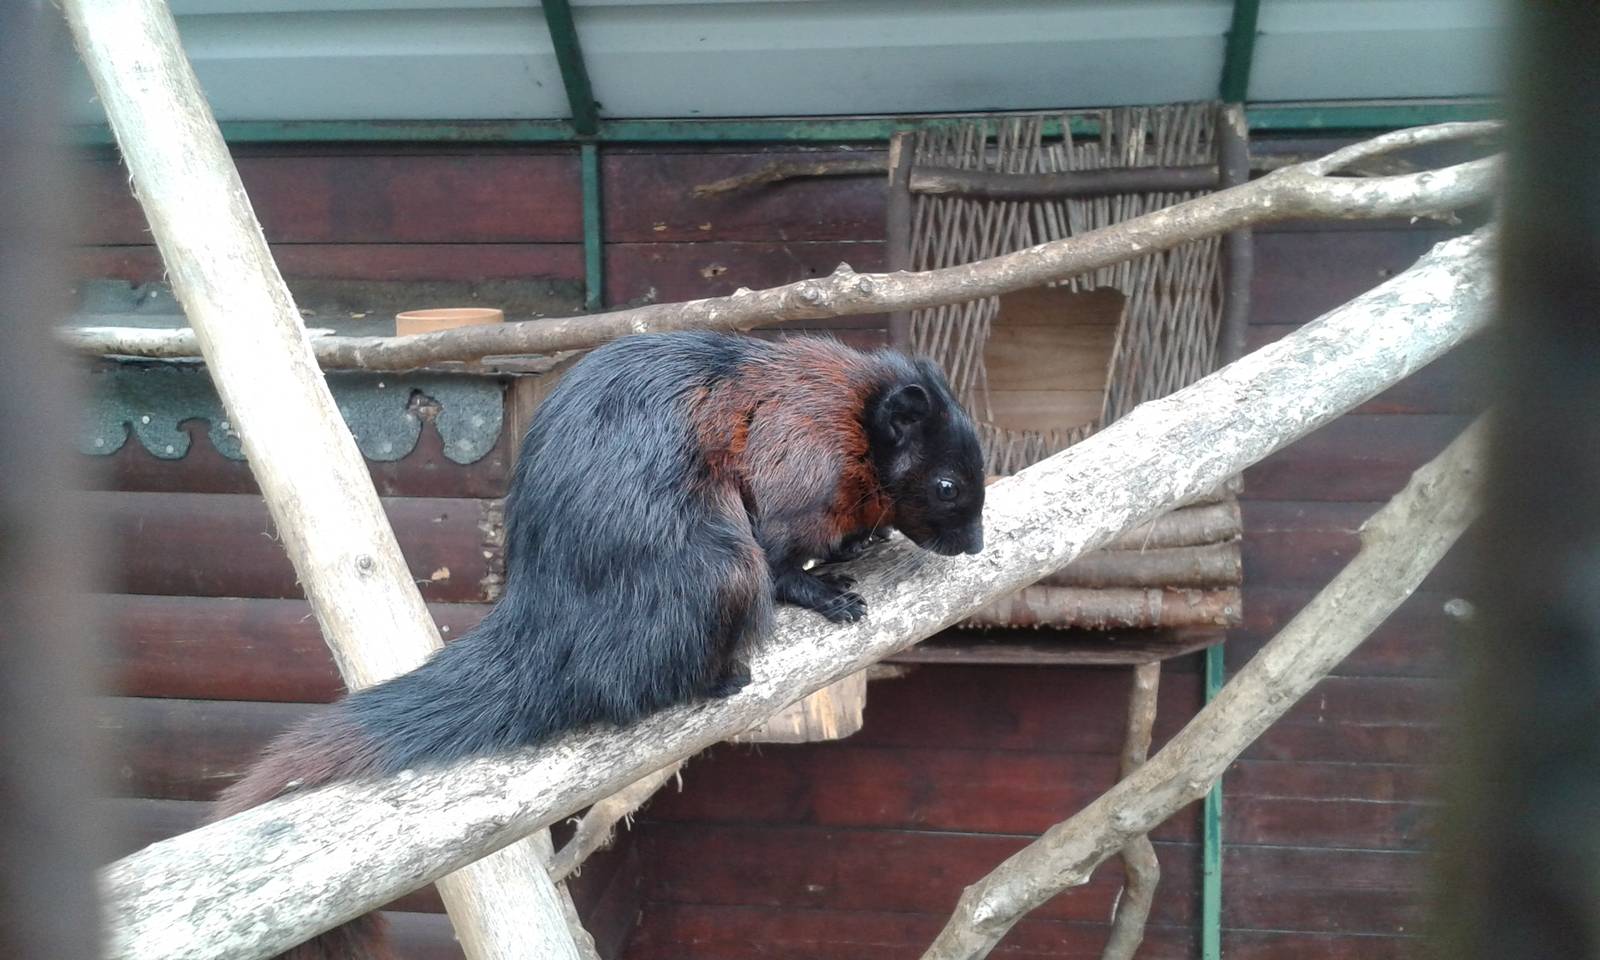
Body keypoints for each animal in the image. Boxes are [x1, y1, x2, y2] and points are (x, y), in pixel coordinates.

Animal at [212, 331, 986, 960]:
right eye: (948, 484)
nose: (976, 546)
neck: (855, 411)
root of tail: (542, 627)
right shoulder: (802, 461)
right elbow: (784, 558)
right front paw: (827, 589)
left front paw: (863, 542)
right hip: (721, 567)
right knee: (640, 677)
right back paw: (722, 677)